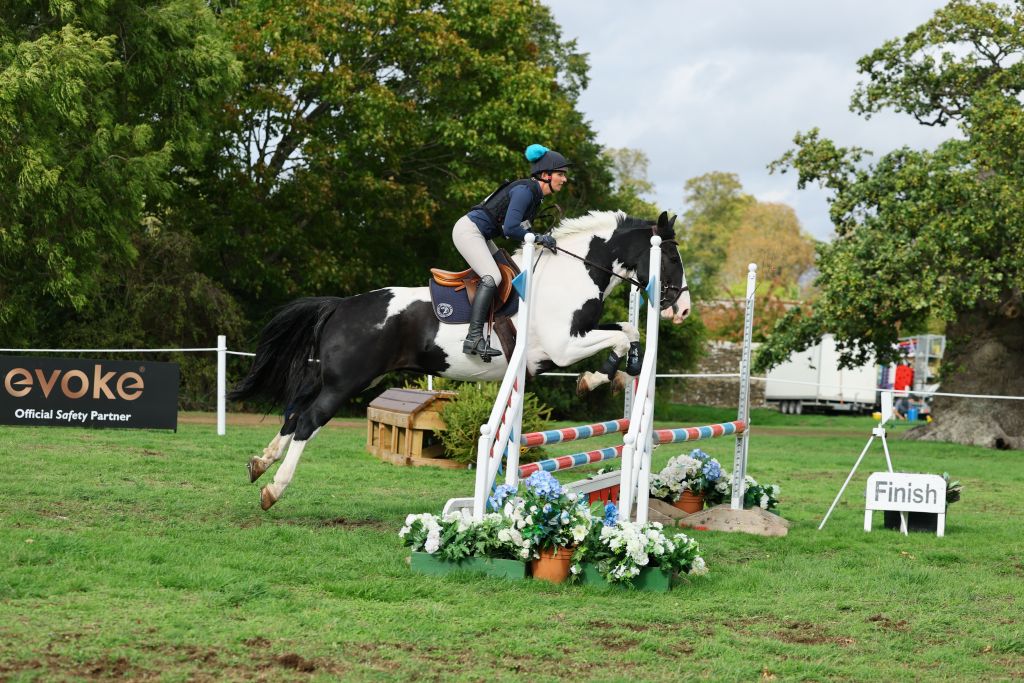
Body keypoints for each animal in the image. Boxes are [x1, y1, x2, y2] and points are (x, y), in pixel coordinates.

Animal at [229, 210, 691, 510]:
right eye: (671, 257)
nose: (682, 310)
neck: (571, 275)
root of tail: (341, 306)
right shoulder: (562, 347)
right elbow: (624, 334)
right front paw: (596, 379)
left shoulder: (563, 346)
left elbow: (627, 331)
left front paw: (611, 375)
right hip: (346, 382)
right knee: (308, 420)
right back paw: (274, 490)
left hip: (334, 377)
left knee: (294, 412)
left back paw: (259, 464)